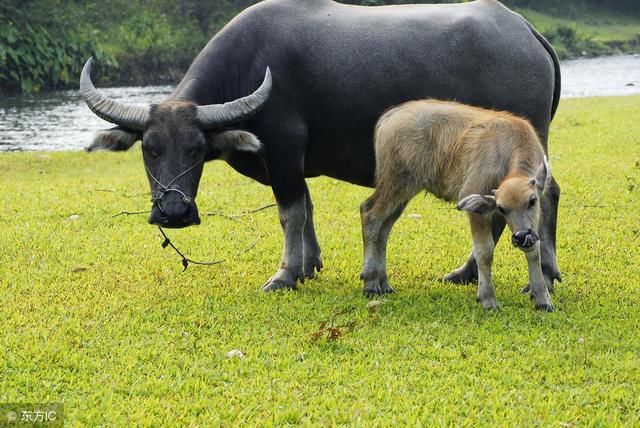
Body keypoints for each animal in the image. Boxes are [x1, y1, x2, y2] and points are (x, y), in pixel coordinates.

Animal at [81, 0, 560, 292]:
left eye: (197, 149)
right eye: (150, 149)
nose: (174, 213)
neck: (248, 67)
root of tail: (527, 31)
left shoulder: (283, 151)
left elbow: (289, 213)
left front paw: (284, 274)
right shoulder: (294, 164)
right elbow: (307, 208)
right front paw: (309, 265)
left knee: (539, 196)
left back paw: (525, 273)